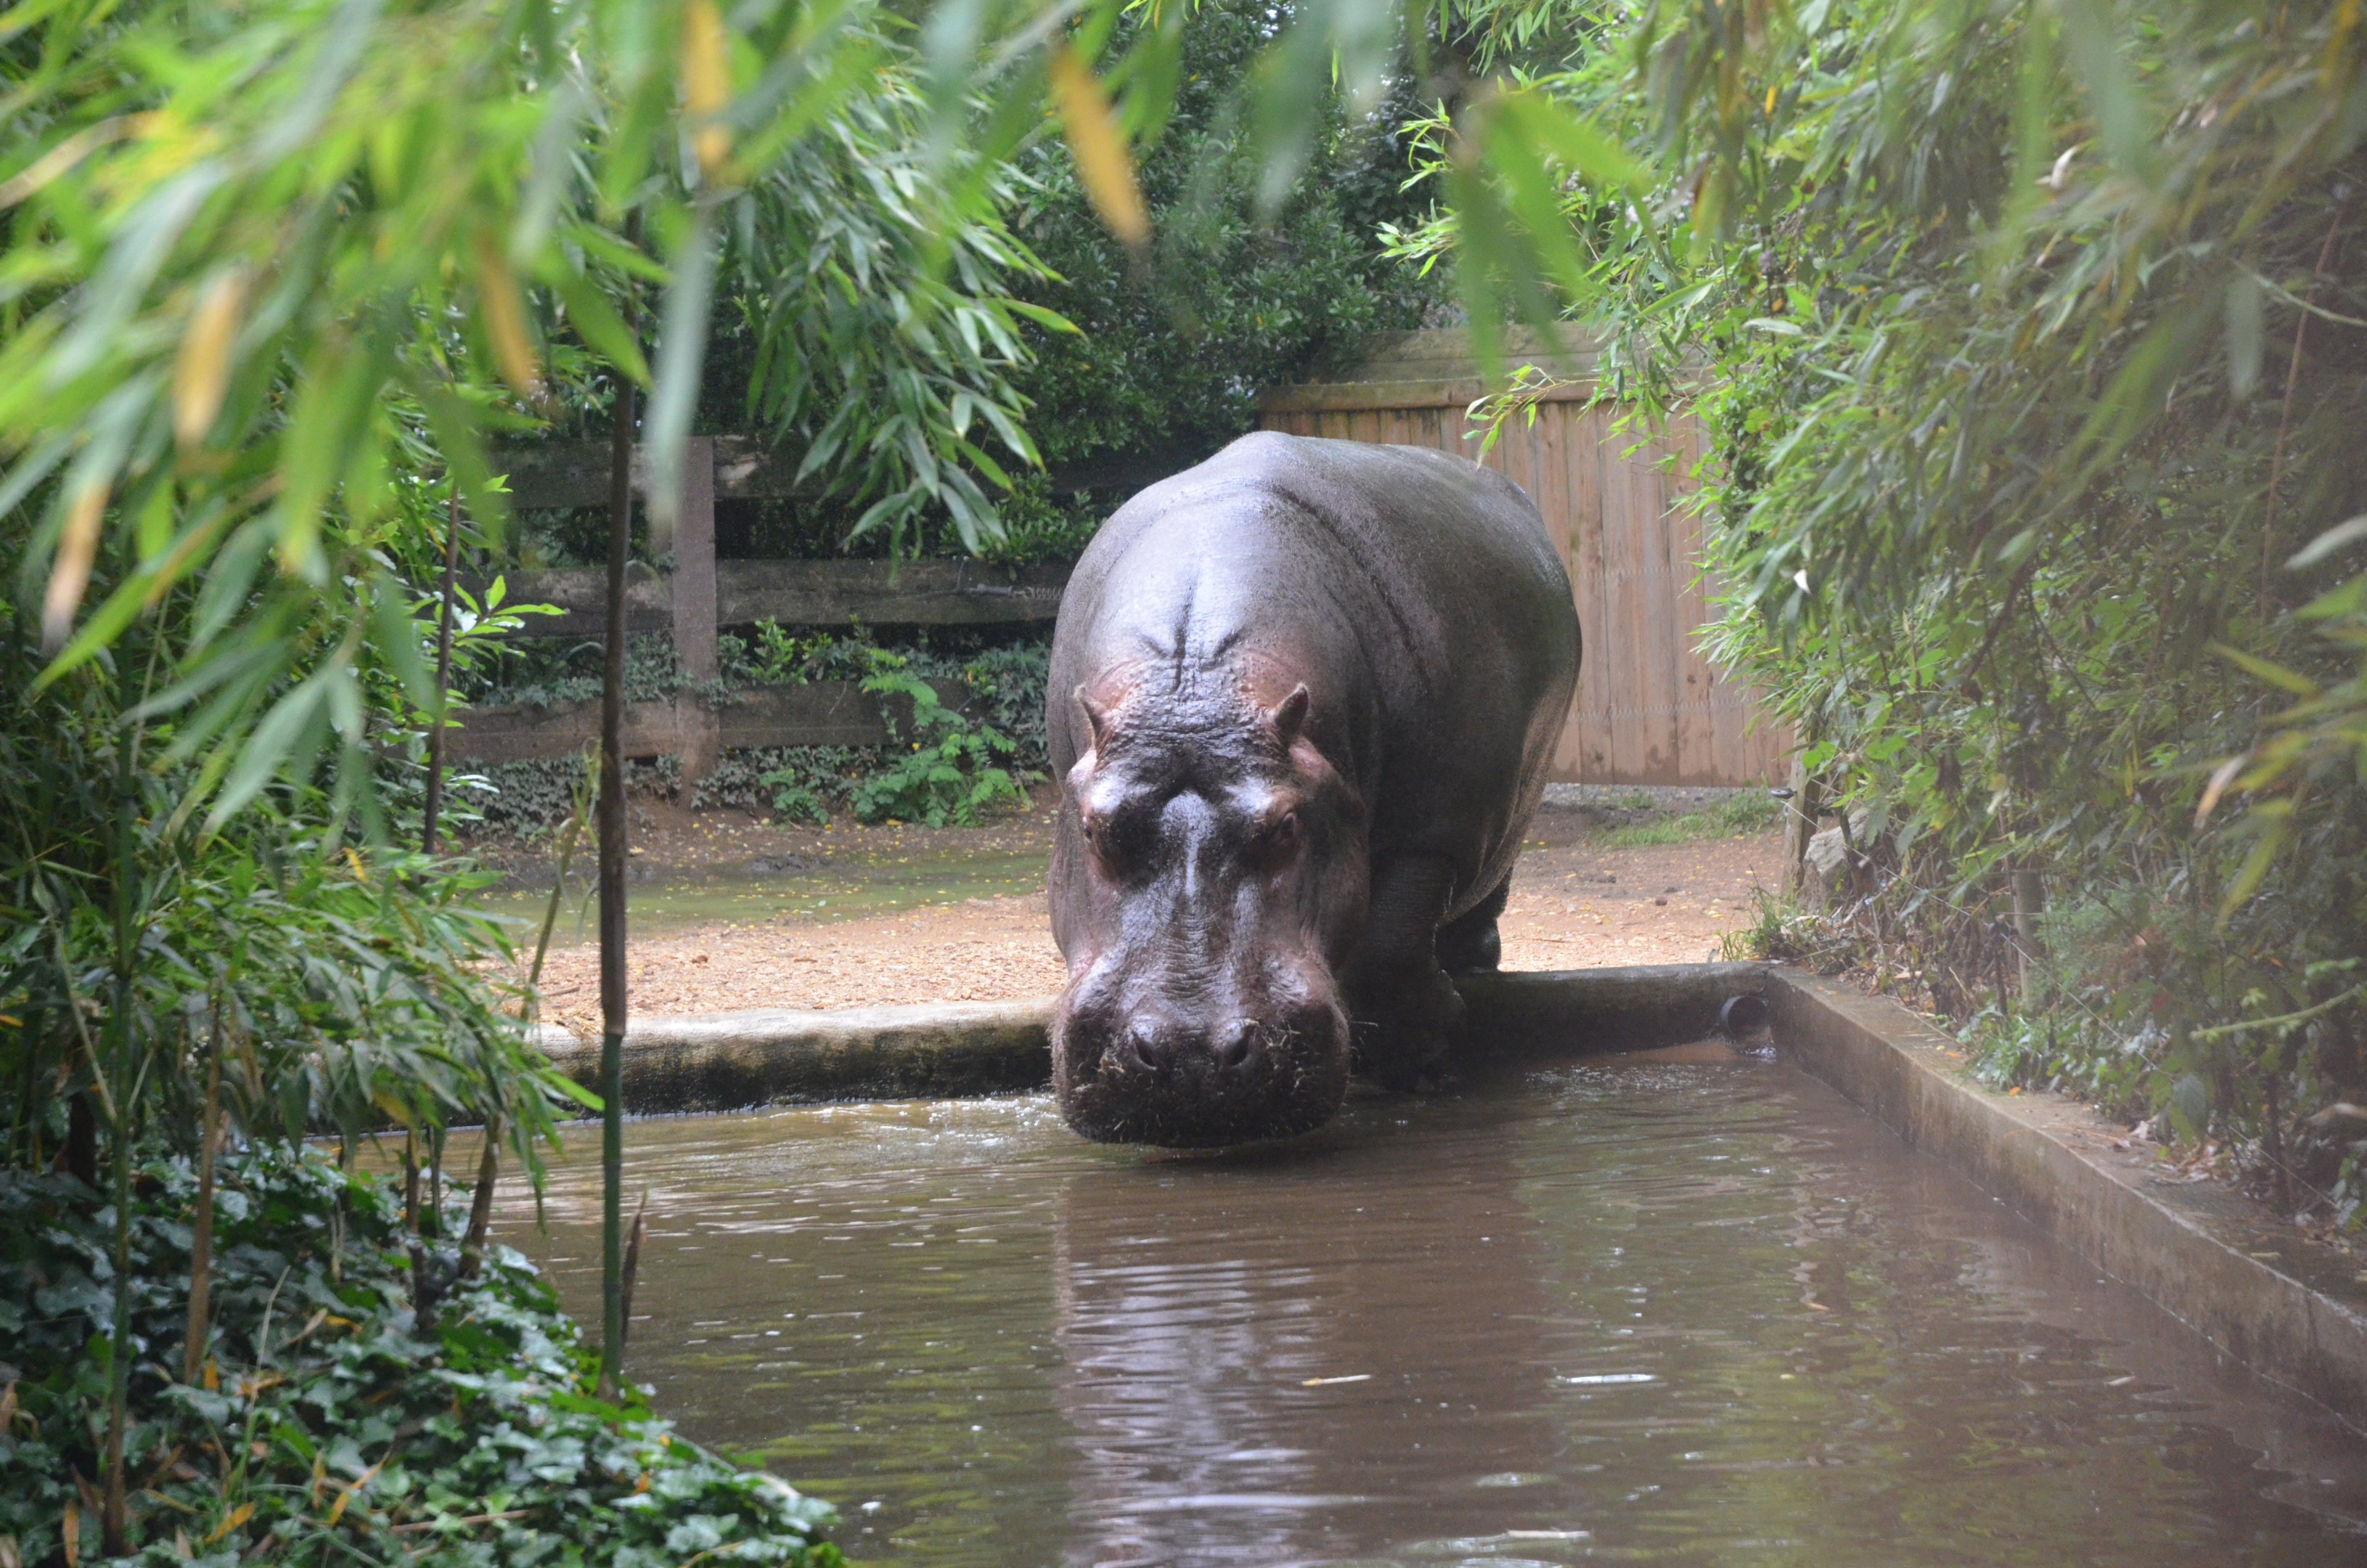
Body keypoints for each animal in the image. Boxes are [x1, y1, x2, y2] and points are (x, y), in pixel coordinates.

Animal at [1045, 431, 1581, 1145]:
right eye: (1093, 828)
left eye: (1285, 825)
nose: (1191, 1054)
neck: (1197, 688)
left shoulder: (1432, 834)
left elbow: (1388, 945)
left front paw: (1421, 1064)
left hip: (1508, 815)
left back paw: (1471, 963)